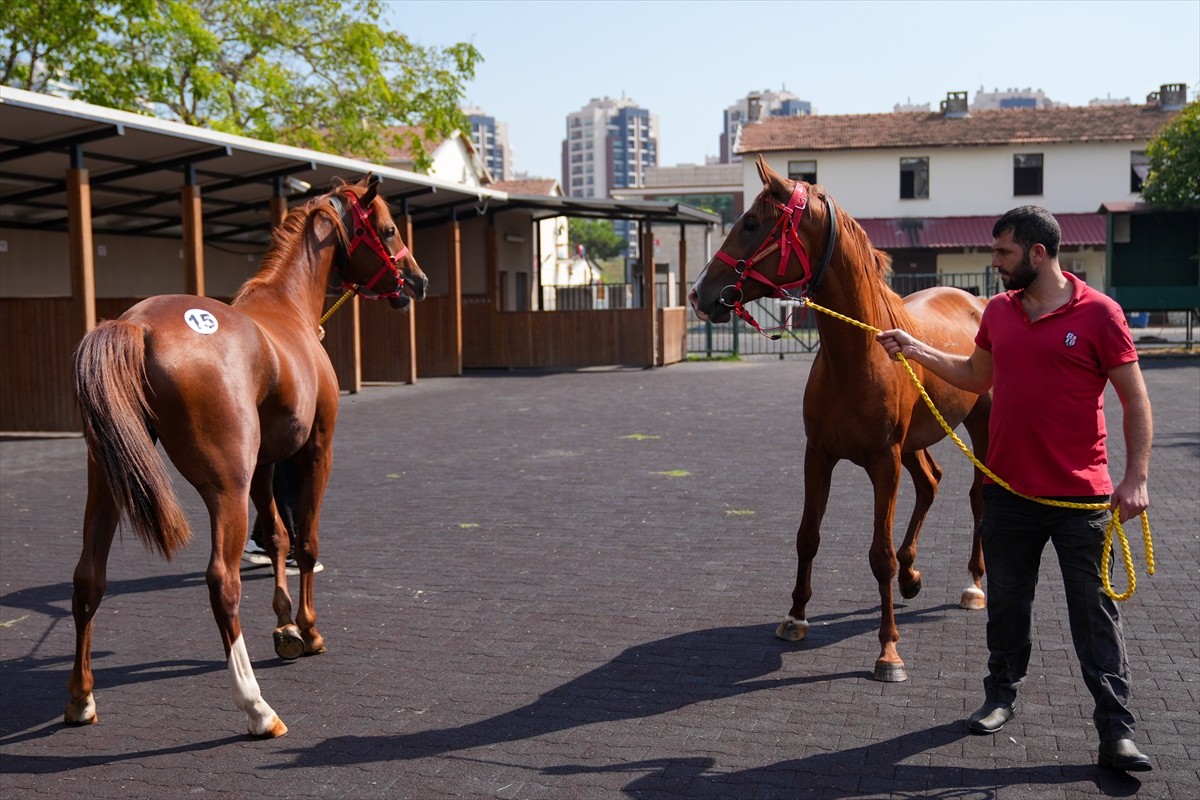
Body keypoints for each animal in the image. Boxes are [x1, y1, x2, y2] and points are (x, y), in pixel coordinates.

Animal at [66, 175, 427, 738]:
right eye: (388, 229)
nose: (416, 281)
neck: (287, 309)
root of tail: (137, 326)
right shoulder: (314, 451)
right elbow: (306, 542)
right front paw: (308, 630)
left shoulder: (265, 464)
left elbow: (277, 536)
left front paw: (284, 625)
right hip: (226, 486)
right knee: (223, 581)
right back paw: (256, 706)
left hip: (107, 480)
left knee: (88, 578)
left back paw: (82, 698)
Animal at [691, 158, 988, 681]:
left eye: (751, 224)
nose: (698, 293)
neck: (860, 353)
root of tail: (978, 300)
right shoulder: (820, 455)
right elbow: (807, 536)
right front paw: (795, 617)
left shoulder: (884, 463)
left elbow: (879, 555)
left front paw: (888, 650)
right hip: (915, 443)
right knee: (931, 483)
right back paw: (913, 575)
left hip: (978, 425)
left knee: (977, 496)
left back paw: (973, 584)